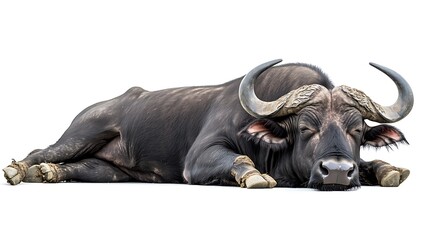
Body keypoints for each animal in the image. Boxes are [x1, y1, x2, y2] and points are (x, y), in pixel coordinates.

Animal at [2, 59, 412, 190]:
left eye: (357, 129)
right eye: (306, 128)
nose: (337, 172)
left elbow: (374, 165)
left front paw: (389, 170)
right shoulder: (199, 158)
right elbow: (238, 162)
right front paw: (255, 177)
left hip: (111, 172)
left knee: (76, 168)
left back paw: (48, 173)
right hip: (86, 131)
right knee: (42, 150)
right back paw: (21, 170)